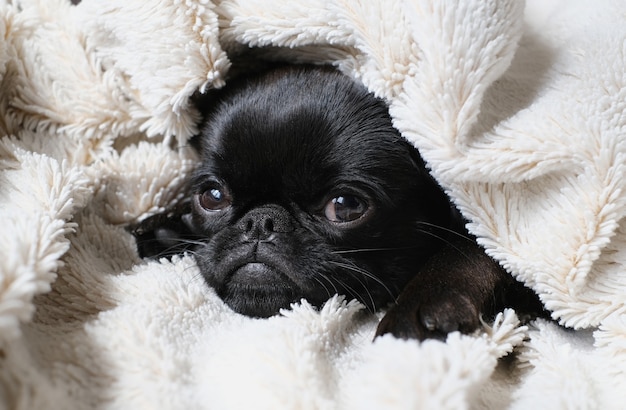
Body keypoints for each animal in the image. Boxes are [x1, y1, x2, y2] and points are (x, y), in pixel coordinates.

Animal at [133, 65, 540, 340]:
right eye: (212, 196)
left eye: (344, 206)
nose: (260, 222)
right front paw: (168, 230)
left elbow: (468, 249)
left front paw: (423, 305)